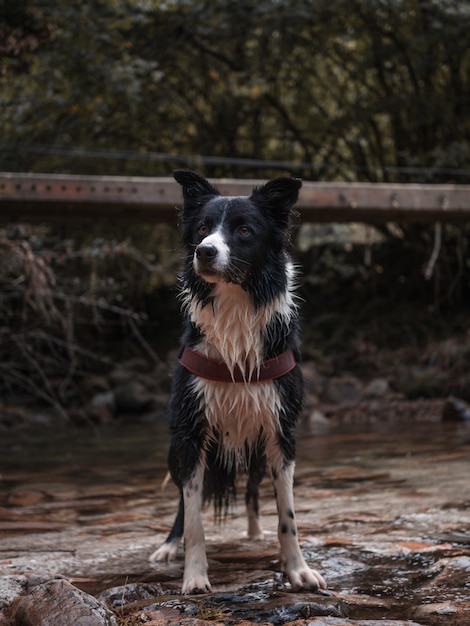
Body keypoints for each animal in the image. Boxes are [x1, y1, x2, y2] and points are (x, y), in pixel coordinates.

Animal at [151, 169, 326, 588]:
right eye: (202, 229)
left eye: (244, 230)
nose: (204, 251)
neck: (235, 305)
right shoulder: (191, 430)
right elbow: (194, 518)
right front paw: (194, 577)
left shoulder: (281, 430)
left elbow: (287, 514)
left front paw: (297, 570)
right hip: (175, 449)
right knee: (182, 503)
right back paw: (168, 547)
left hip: (258, 449)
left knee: (252, 490)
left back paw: (254, 532)